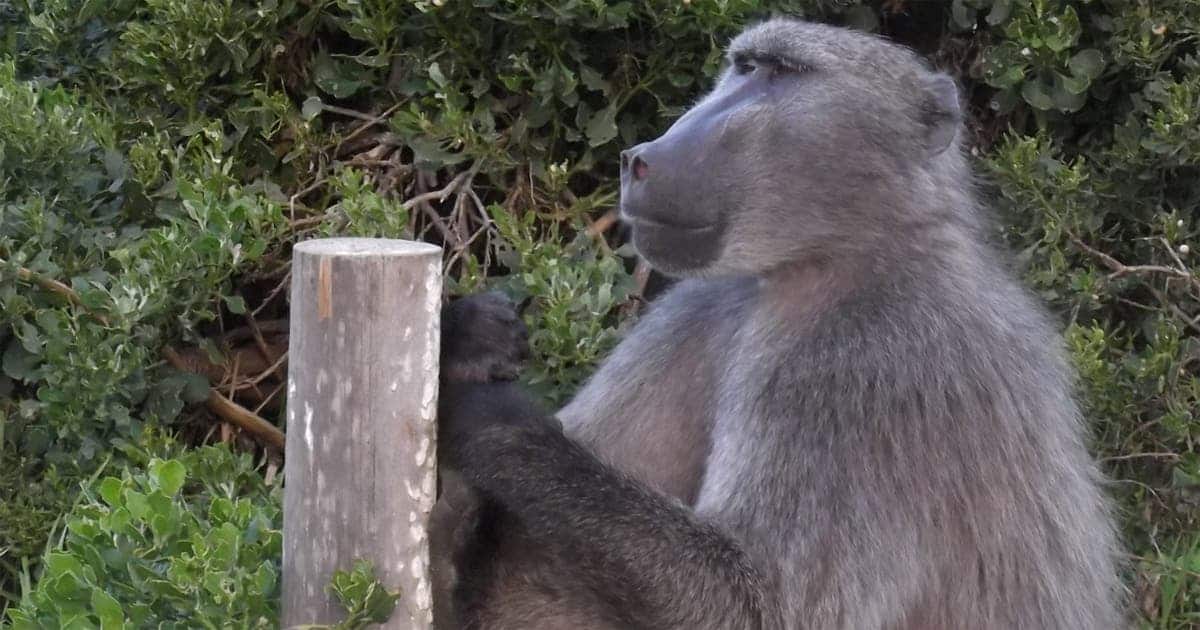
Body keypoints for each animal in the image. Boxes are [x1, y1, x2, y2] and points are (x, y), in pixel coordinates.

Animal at [429, 17, 1125, 630]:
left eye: (780, 74)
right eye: (741, 67)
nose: (640, 159)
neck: (844, 257)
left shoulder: (868, 364)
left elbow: (765, 604)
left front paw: (482, 416)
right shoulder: (707, 304)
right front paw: (463, 339)